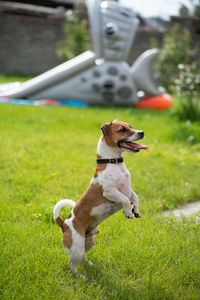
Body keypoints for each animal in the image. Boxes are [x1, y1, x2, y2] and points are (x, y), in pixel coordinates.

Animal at [52, 120, 147, 274]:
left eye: (130, 127)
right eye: (122, 129)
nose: (142, 132)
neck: (114, 163)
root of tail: (63, 223)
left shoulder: (128, 189)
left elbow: (135, 197)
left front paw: (136, 210)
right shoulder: (110, 191)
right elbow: (125, 199)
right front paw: (128, 211)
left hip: (89, 241)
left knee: (82, 258)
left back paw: (90, 265)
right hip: (76, 247)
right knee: (71, 264)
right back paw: (80, 276)